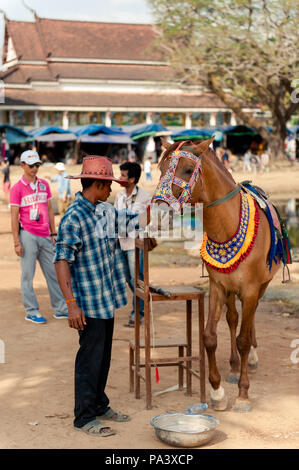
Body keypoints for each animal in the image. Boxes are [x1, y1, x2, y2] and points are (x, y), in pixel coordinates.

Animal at [154, 136, 282, 412]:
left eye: (187, 170)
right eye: (161, 169)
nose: (159, 212)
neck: (227, 226)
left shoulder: (251, 289)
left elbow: (243, 339)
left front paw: (243, 394)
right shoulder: (218, 287)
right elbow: (209, 337)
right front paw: (217, 391)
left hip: (261, 287)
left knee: (249, 322)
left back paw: (251, 359)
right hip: (231, 290)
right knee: (233, 319)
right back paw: (233, 366)